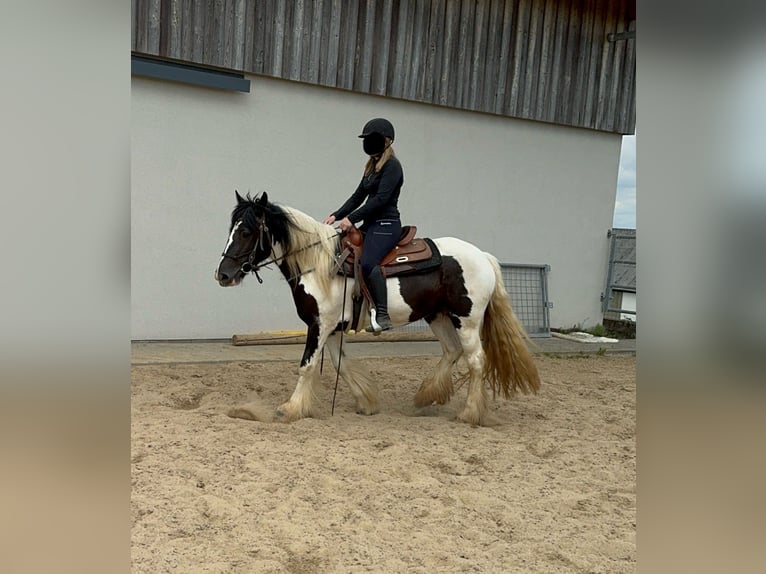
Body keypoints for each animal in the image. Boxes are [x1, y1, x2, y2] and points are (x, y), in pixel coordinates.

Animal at [214, 191, 540, 426]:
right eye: (231, 228)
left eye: (246, 231)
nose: (223, 275)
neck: (320, 265)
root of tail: (482, 256)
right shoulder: (332, 329)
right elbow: (341, 365)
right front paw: (366, 402)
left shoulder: (319, 326)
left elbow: (307, 366)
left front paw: (290, 409)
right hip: (437, 316)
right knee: (452, 351)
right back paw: (426, 396)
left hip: (467, 320)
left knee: (475, 361)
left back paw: (469, 413)